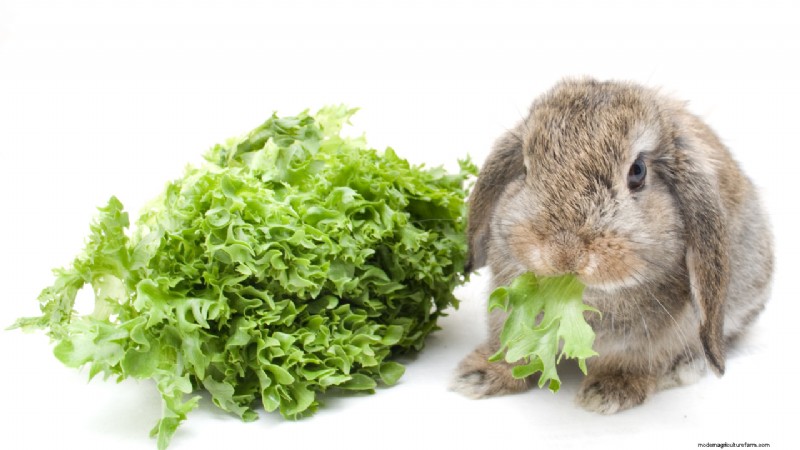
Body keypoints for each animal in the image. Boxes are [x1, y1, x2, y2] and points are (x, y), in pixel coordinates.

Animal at [451, 78, 774, 414]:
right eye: (525, 170)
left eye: (638, 171)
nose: (564, 254)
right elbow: (510, 345)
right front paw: (479, 375)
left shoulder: (652, 340)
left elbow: (633, 361)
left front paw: (609, 392)